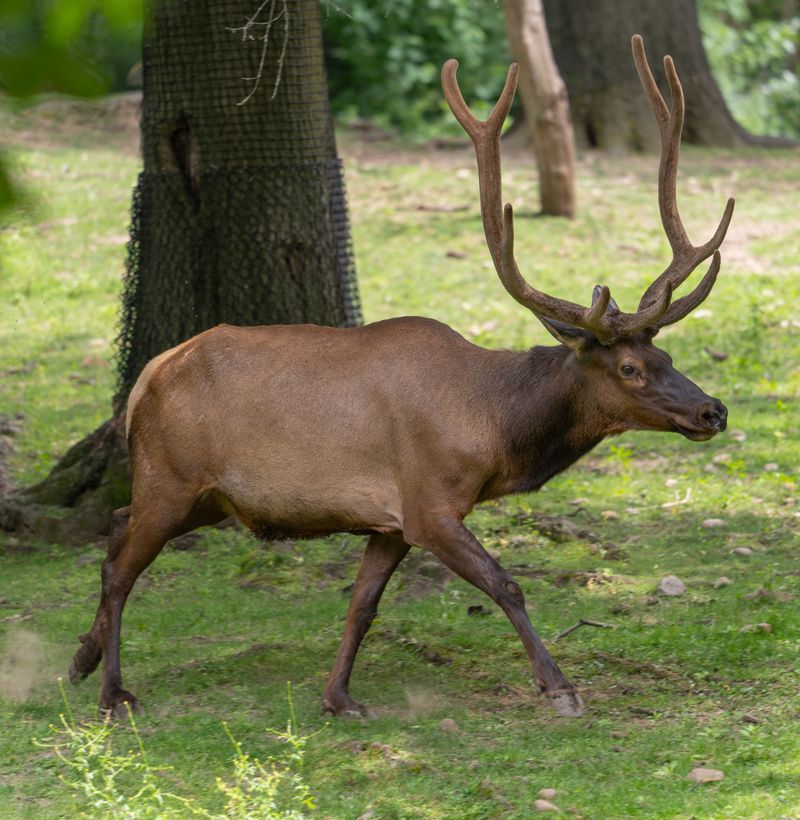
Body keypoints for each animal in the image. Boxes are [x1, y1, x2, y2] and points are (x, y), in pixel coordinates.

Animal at [70, 35, 733, 720]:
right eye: (630, 368)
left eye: (668, 358)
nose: (713, 410)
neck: (492, 432)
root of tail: (146, 377)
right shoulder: (428, 502)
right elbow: (506, 584)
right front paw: (560, 687)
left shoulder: (388, 523)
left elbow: (363, 606)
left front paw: (338, 696)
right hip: (172, 477)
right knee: (120, 566)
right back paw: (112, 690)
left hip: (198, 493)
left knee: (115, 526)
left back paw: (81, 658)